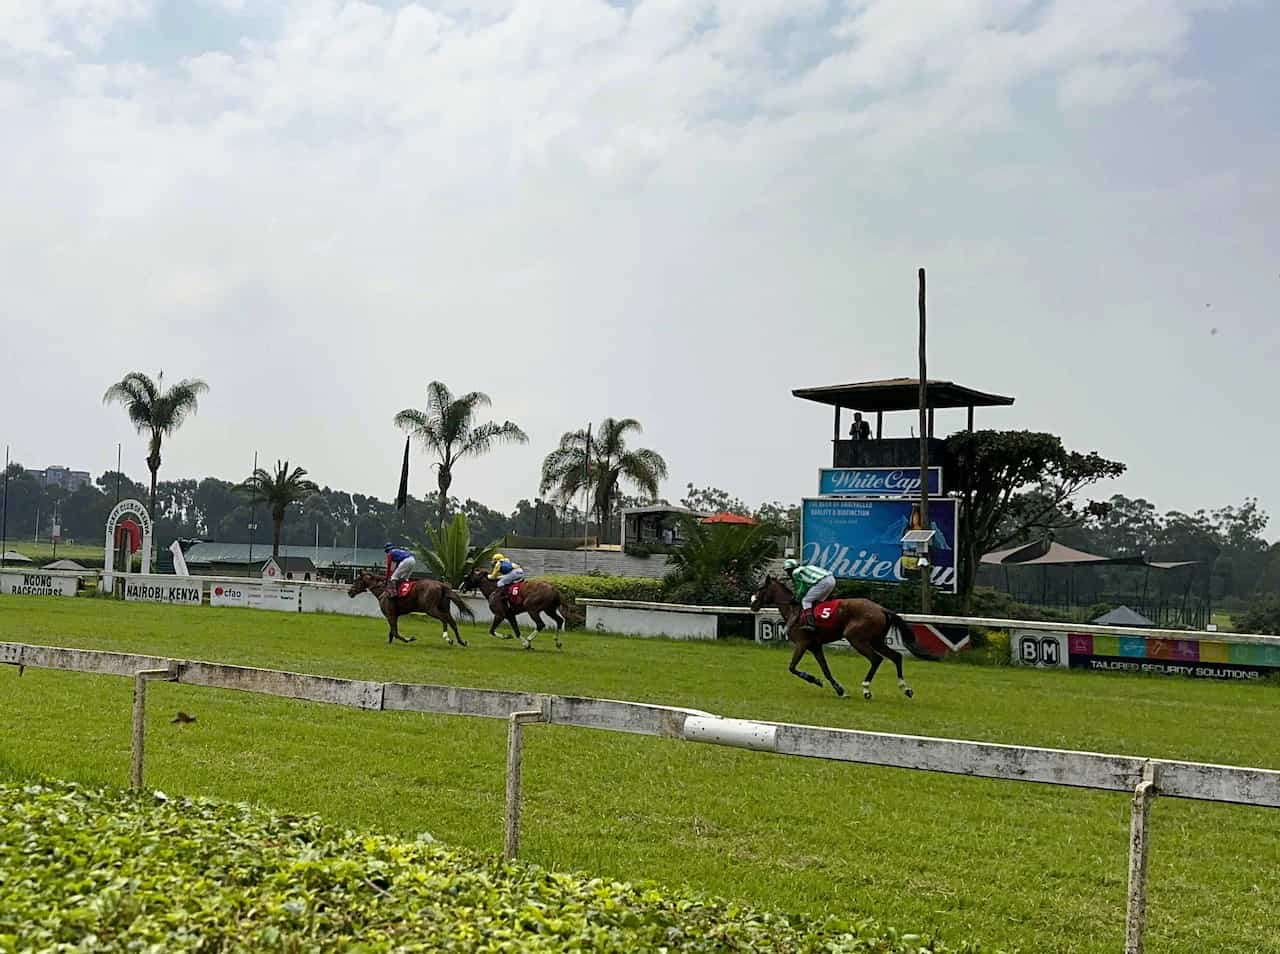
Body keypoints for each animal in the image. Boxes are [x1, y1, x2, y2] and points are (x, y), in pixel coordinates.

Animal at [345, 568, 476, 642]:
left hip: (430, 609)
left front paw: (409, 639)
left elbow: (395, 633)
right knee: (452, 622)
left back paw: (447, 638)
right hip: (444, 608)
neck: (383, 590)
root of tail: (442, 585)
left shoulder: (390, 615)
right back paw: (460, 641)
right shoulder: (393, 615)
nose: (349, 592)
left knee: (445, 620)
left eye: (356, 580)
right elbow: (392, 633)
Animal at [747, 573, 942, 701]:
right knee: (896, 656)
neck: (793, 610)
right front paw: (840, 690)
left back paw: (866, 689)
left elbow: (792, 667)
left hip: (856, 638)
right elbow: (826, 669)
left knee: (876, 659)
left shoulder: (802, 643)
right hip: (877, 640)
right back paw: (905, 688)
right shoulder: (815, 646)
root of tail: (881, 609)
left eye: (761, 588)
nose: (753, 606)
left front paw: (815, 680)